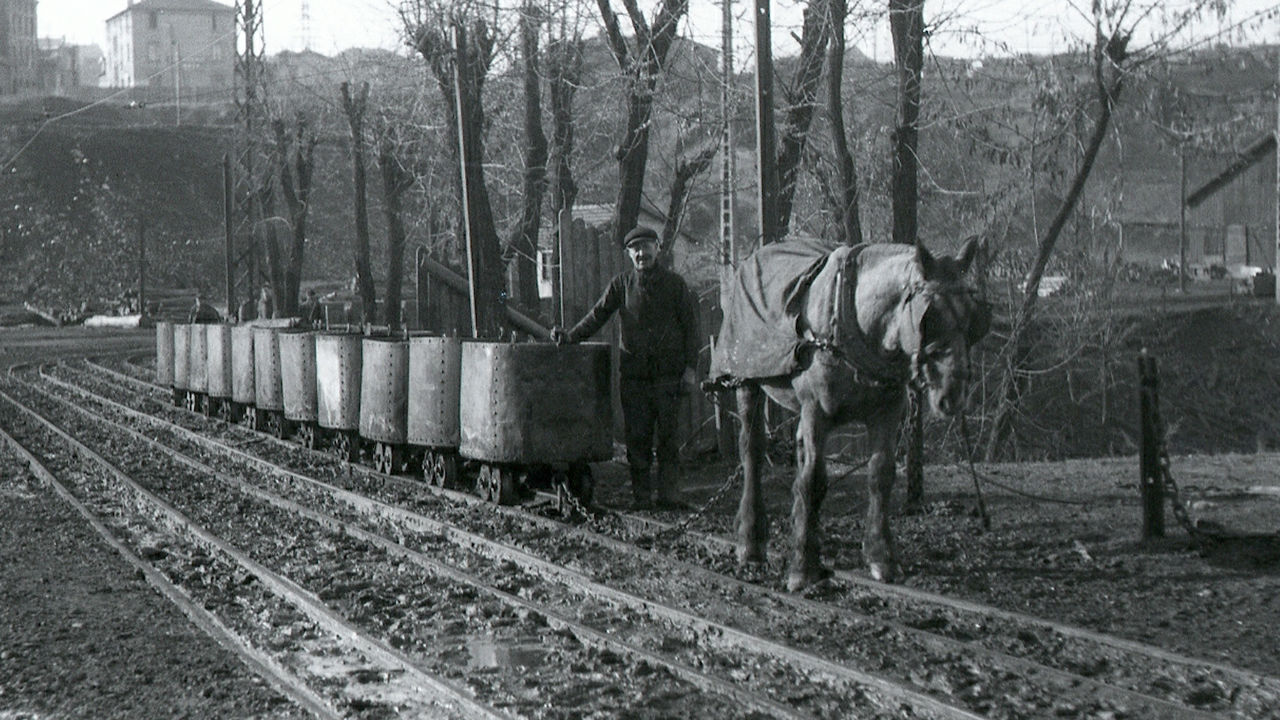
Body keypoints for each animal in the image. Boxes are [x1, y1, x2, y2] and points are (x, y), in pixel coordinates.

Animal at [711, 238, 988, 586]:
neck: (858, 320)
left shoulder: (887, 413)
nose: (953, 394)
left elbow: (881, 475)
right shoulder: (816, 412)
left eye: (974, 318)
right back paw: (751, 542)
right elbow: (814, 480)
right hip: (748, 384)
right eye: (930, 317)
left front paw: (881, 557)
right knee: (752, 453)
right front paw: (803, 567)